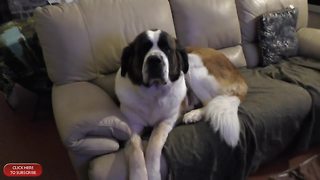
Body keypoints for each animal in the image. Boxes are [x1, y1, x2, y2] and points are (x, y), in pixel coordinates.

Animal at [114, 28, 248, 179]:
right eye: (143, 48)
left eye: (167, 49)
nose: (154, 59)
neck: (153, 93)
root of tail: (238, 74)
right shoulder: (132, 127)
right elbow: (135, 150)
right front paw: (139, 175)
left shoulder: (167, 121)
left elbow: (154, 144)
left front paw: (153, 173)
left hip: (193, 66)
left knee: (210, 102)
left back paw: (193, 114)